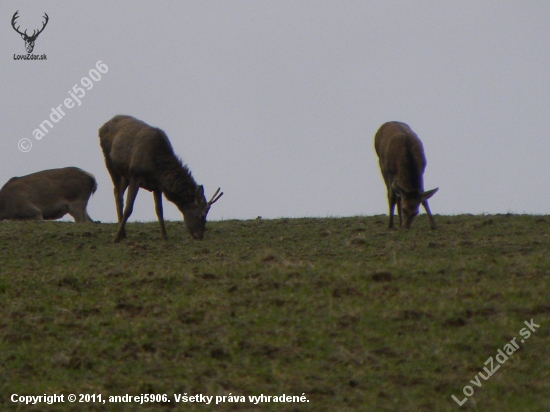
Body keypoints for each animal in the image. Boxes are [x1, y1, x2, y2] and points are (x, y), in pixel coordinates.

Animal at [99, 114, 222, 243]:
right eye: (202, 215)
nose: (199, 236)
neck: (157, 168)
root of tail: (102, 126)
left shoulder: (156, 186)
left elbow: (159, 210)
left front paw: (165, 237)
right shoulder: (135, 176)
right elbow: (129, 208)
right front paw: (116, 238)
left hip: (125, 174)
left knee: (117, 191)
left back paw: (123, 231)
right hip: (109, 161)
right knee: (118, 194)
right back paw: (121, 234)